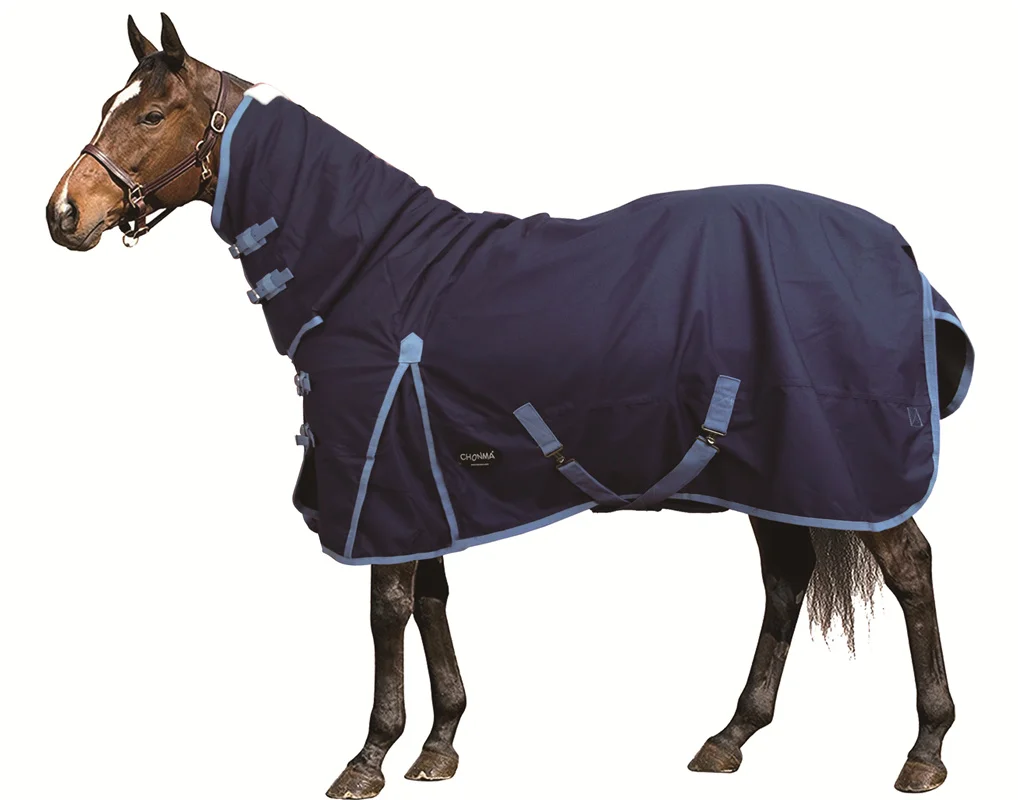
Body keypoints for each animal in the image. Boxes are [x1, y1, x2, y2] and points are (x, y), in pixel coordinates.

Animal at [46, 13, 964, 797]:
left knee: (908, 571)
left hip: (844, 463)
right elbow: (430, 600)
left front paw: (369, 758)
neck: (367, 267)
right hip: (775, 470)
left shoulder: (378, 480)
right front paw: (440, 744)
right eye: (106, 106)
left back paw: (925, 750)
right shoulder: (422, 482)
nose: (64, 213)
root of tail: (897, 249)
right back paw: (730, 736)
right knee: (786, 579)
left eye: (152, 112)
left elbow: (387, 612)